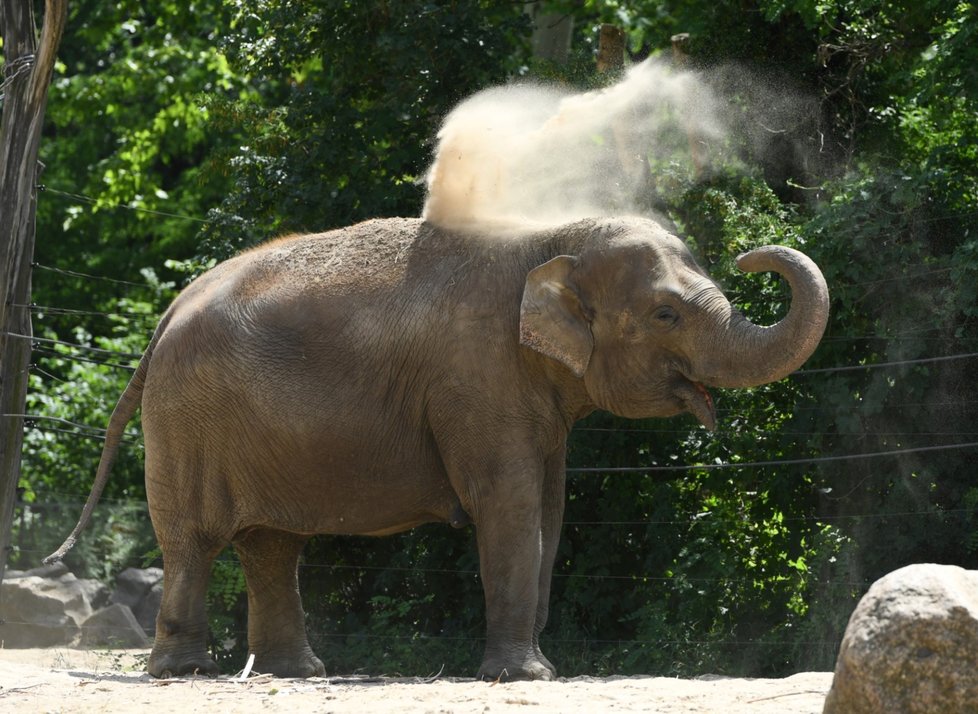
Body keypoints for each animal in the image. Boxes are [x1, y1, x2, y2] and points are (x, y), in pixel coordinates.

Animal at [43, 216, 824, 680]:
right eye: (666, 313)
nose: (752, 253)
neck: (548, 241)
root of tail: (168, 313)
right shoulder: (474, 376)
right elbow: (506, 505)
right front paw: (525, 676)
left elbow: (548, 510)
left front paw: (539, 667)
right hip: (185, 420)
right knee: (193, 541)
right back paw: (184, 672)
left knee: (271, 545)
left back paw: (299, 674)